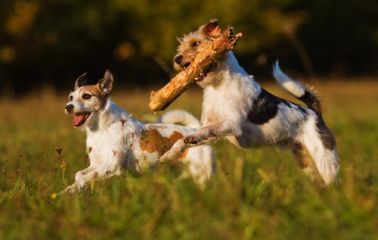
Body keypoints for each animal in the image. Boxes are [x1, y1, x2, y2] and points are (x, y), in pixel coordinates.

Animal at [61, 70, 213, 193]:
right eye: (71, 97)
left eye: (86, 96)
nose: (68, 107)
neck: (102, 129)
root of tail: (195, 129)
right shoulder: (96, 165)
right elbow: (79, 174)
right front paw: (70, 189)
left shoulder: (111, 166)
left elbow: (85, 177)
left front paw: (73, 189)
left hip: (201, 175)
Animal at [160, 19, 340, 185]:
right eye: (180, 47)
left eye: (196, 43)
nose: (177, 58)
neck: (217, 87)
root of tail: (315, 112)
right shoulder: (212, 127)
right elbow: (188, 137)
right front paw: (170, 153)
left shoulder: (232, 123)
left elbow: (203, 131)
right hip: (304, 160)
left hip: (324, 158)